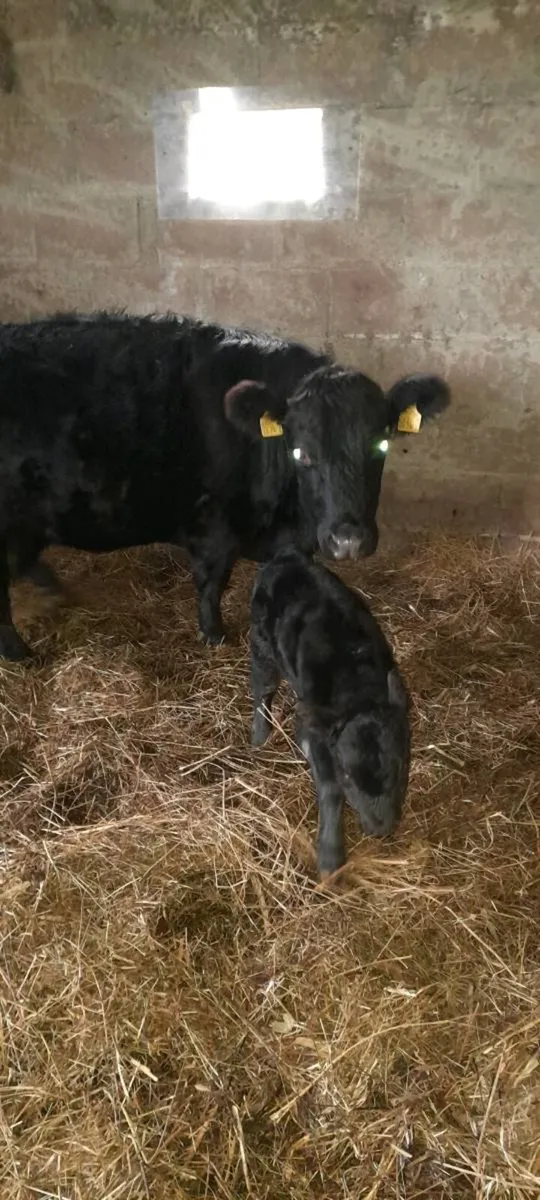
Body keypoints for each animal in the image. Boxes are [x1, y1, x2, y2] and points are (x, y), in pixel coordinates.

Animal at [0, 311, 450, 660]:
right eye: (301, 452)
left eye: (381, 444)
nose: (348, 541)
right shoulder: (214, 527)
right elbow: (211, 583)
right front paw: (214, 635)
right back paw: (22, 654)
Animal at [250, 549, 410, 876]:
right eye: (347, 777)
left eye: (400, 768)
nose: (380, 829)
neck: (356, 685)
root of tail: (283, 558)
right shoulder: (314, 726)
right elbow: (329, 787)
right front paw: (329, 857)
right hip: (262, 643)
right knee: (263, 685)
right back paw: (259, 734)